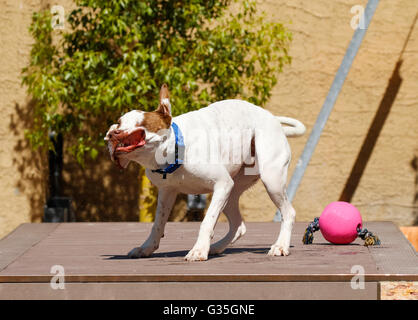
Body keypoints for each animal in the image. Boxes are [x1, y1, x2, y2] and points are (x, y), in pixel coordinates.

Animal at [106, 84, 306, 260]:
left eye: (141, 124)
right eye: (119, 122)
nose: (112, 133)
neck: (175, 150)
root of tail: (274, 121)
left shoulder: (221, 184)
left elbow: (207, 221)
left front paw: (199, 250)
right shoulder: (167, 192)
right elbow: (158, 224)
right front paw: (146, 248)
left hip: (271, 181)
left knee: (288, 212)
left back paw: (280, 246)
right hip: (231, 192)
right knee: (239, 226)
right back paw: (217, 247)